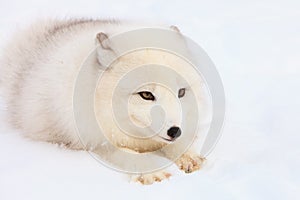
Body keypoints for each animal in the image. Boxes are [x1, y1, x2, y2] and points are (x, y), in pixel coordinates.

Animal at [0, 18, 211, 184]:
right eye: (146, 95)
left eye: (181, 92)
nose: (175, 131)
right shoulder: (97, 141)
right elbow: (129, 155)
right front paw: (152, 173)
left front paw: (188, 155)